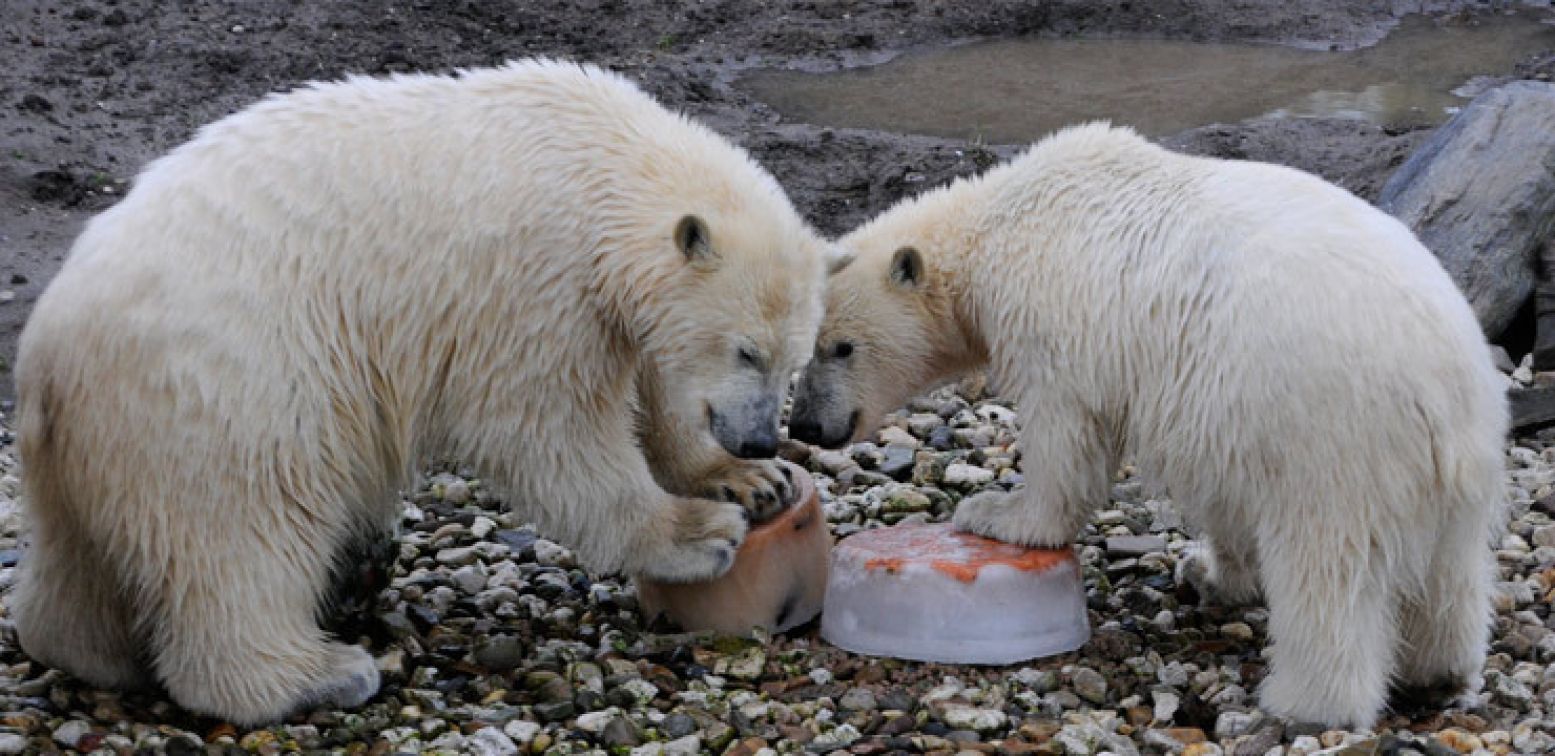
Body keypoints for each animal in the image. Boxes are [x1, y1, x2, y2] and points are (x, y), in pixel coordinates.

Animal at [12, 60, 839, 728]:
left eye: (793, 359)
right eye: (744, 349)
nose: (760, 436)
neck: (599, 156)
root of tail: (44, 348)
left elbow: (650, 388)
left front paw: (748, 481)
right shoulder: (533, 280)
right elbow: (546, 425)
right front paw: (696, 532)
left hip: (109, 435)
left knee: (83, 557)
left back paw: (89, 646)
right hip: (228, 386)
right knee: (244, 526)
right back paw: (318, 673)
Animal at [789, 122, 1505, 728]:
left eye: (840, 347)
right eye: (812, 346)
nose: (807, 426)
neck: (998, 224)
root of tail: (1439, 384)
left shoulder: (1060, 324)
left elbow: (1067, 436)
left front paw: (997, 514)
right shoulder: (1220, 414)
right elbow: (1225, 494)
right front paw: (1210, 572)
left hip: (1332, 432)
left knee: (1325, 563)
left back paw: (1303, 701)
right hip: (1460, 458)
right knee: (1450, 570)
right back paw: (1438, 670)